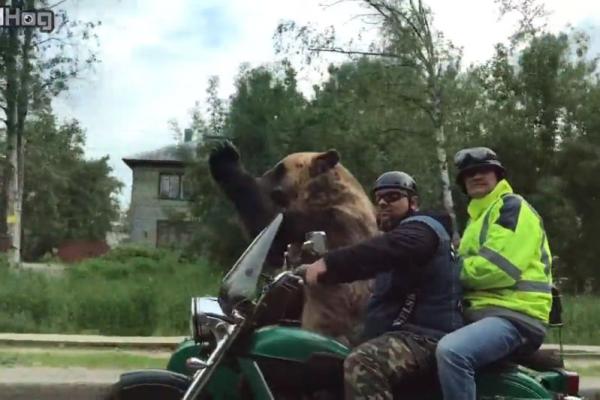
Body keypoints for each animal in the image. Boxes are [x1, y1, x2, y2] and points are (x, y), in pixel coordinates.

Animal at [209, 142, 378, 346]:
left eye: (279, 169)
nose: (262, 178)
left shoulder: (329, 221)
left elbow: (274, 222)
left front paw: (224, 157)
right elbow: (274, 249)